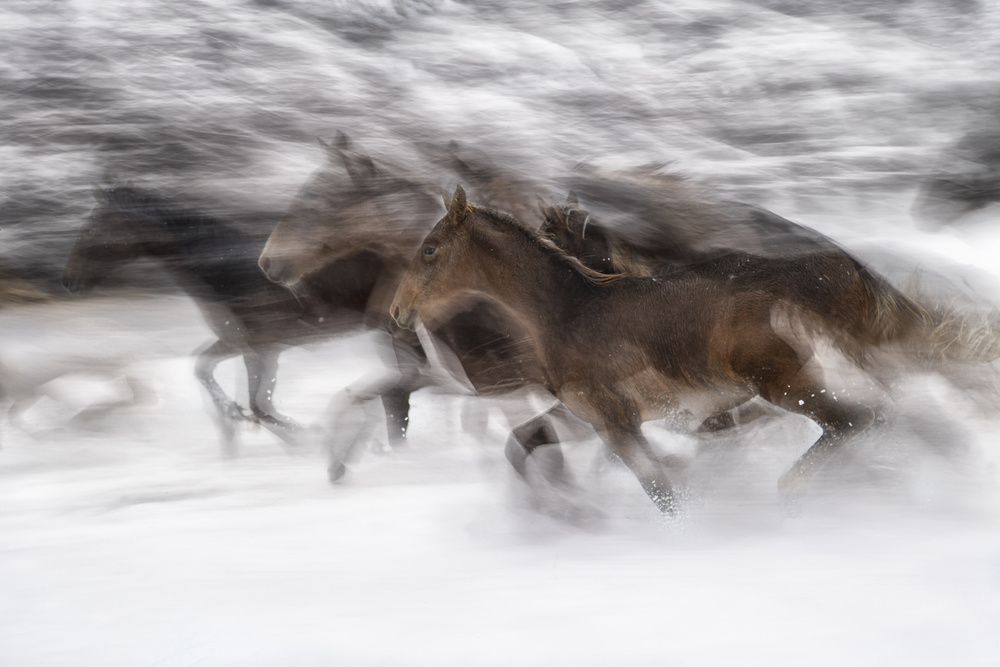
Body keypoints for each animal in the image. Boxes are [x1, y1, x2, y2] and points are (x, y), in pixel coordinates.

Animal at [61, 185, 410, 456]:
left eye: (90, 229)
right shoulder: (240, 344)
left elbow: (259, 405)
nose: (68, 281)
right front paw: (232, 418)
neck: (229, 274)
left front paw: (304, 437)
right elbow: (204, 369)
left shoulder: (262, 349)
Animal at [388, 185, 936, 516]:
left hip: (787, 385)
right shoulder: (590, 416)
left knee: (857, 422)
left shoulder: (614, 424)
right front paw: (568, 512)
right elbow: (523, 443)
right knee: (897, 421)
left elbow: (664, 492)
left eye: (430, 249)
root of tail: (845, 270)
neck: (571, 312)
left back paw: (793, 493)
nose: (397, 310)